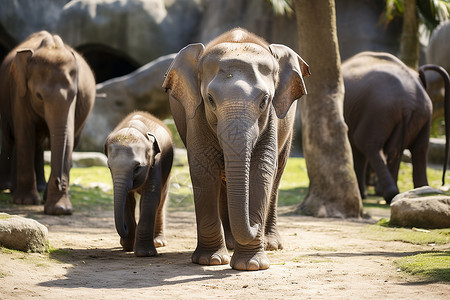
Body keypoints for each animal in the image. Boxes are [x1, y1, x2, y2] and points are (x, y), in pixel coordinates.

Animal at [0, 30, 96, 214]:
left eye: (75, 94)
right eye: (39, 96)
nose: (59, 182)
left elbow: (68, 138)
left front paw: (60, 210)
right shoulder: (19, 92)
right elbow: (25, 135)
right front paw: (26, 202)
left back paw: (41, 190)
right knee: (11, 137)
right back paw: (9, 188)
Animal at [105, 111, 174, 256]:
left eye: (137, 168)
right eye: (109, 167)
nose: (124, 228)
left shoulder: (156, 162)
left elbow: (150, 197)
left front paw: (145, 254)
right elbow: (128, 201)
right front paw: (127, 246)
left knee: (161, 200)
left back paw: (158, 242)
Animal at [162, 28, 310, 272]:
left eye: (264, 100)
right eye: (210, 99)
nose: (254, 221)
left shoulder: (271, 118)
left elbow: (262, 170)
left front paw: (251, 265)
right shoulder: (196, 113)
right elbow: (203, 168)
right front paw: (210, 261)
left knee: (277, 177)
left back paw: (270, 244)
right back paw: (230, 245)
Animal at [342, 51, 448, 204]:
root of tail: (409, 100)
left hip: (379, 111)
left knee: (368, 145)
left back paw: (389, 194)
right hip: (423, 114)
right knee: (419, 149)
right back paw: (421, 191)